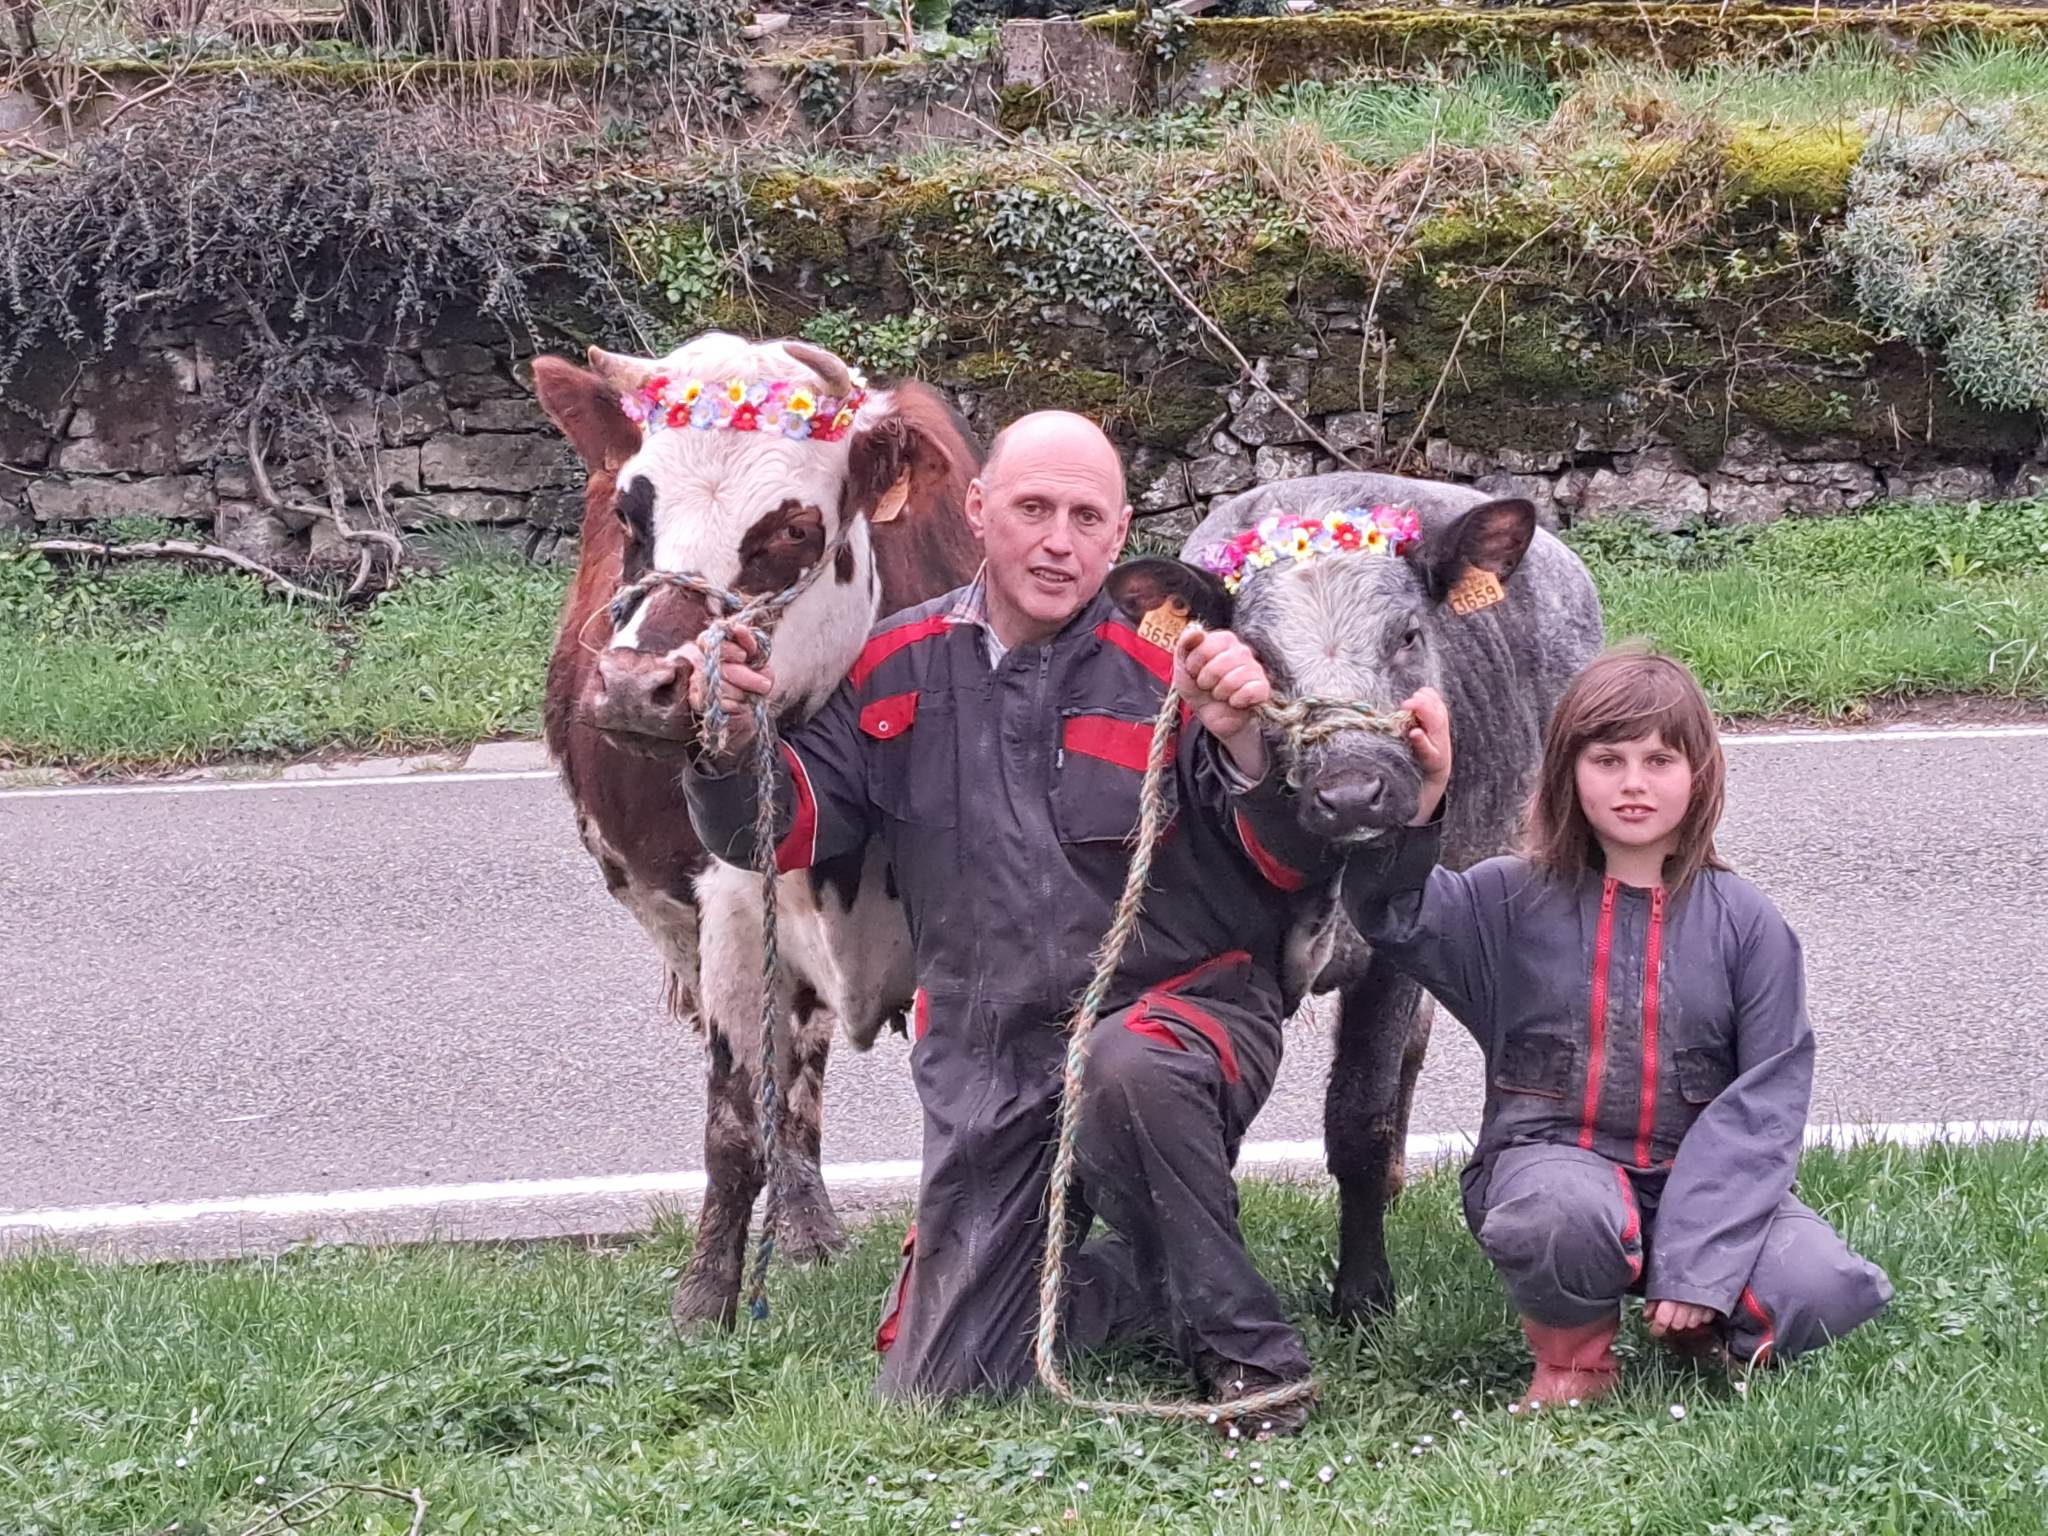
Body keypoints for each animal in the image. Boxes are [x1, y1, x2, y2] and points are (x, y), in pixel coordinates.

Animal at [536, 331, 983, 1327]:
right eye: (632, 513)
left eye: (791, 531)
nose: (637, 688)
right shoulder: (733, 919)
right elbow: (735, 1124)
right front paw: (704, 1304)